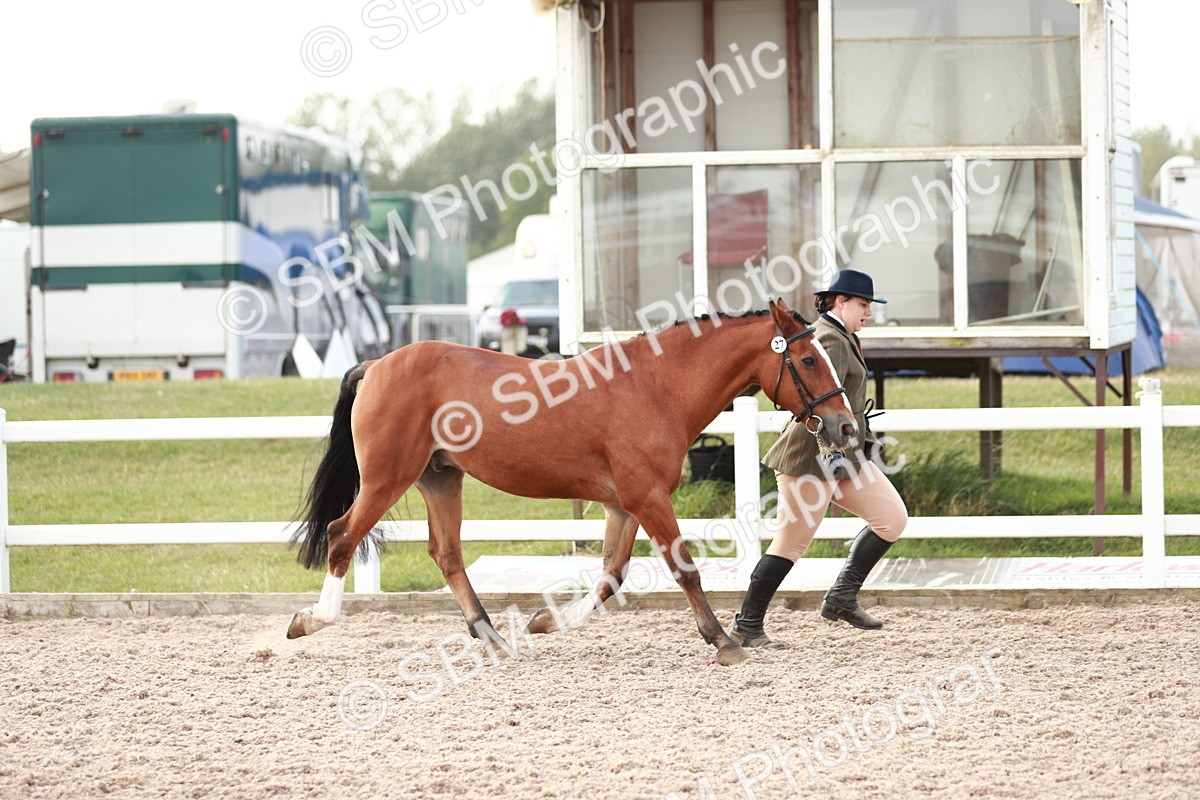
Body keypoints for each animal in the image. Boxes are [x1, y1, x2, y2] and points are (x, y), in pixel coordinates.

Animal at [287, 298, 857, 666]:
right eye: (809, 359)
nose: (846, 427)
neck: (655, 387)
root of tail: (378, 363)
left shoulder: (623, 504)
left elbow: (611, 576)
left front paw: (545, 622)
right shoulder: (648, 498)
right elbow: (684, 570)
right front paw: (723, 640)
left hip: (440, 479)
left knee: (446, 555)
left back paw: (495, 639)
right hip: (387, 478)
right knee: (341, 536)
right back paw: (310, 620)